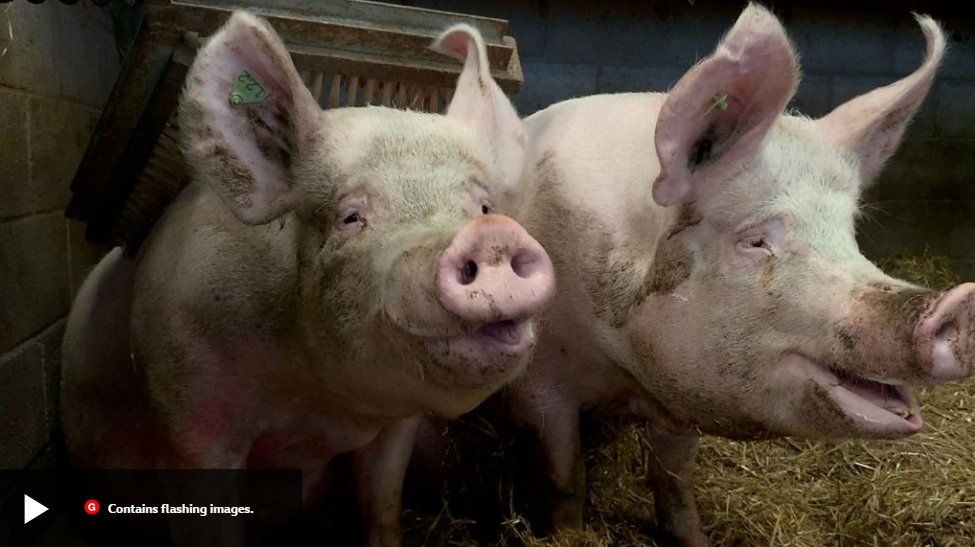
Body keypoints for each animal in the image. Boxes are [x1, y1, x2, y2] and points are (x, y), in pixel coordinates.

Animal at [61, 11, 554, 546]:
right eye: (350, 216)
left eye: (482, 207)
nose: (490, 235)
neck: (318, 407)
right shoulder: (189, 415)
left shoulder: (397, 425)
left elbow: (382, 501)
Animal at [505, 5, 973, 545]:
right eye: (755, 241)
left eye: (849, 234)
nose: (960, 303)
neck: (626, 368)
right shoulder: (539, 386)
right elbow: (566, 478)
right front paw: (566, 533)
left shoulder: (682, 394)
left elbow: (674, 474)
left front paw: (694, 538)